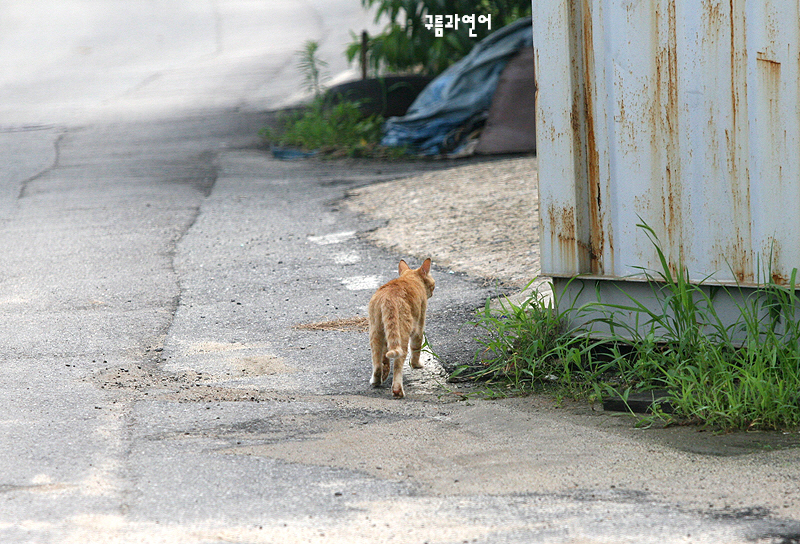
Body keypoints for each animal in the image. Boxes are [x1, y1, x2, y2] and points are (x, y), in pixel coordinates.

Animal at [370, 258, 434, 398]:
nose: (432, 292)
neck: (410, 278)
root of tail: (388, 296)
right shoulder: (419, 328)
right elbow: (416, 349)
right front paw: (417, 365)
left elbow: (385, 359)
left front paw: (385, 372)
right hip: (402, 335)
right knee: (398, 364)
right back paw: (397, 391)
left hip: (376, 332)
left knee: (377, 363)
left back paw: (376, 381)